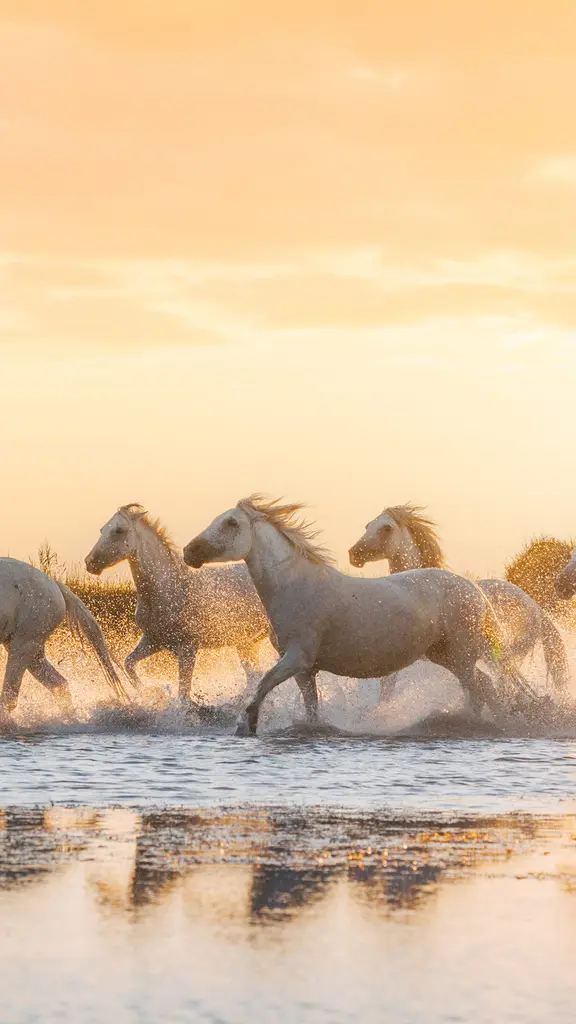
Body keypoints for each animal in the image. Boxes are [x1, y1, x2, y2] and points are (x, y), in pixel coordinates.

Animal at [85, 504, 270, 712]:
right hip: (247, 643)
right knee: (253, 675)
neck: (168, 590)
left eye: (119, 530)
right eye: (102, 529)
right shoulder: (153, 640)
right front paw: (153, 692)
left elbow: (183, 695)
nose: (90, 563)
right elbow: (129, 663)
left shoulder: (187, 649)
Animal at [183, 494, 517, 736]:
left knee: (482, 688)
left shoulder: (297, 657)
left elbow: (263, 685)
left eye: (230, 523)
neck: (297, 586)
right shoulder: (305, 670)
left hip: (461, 655)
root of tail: (474, 589)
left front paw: (247, 726)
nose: (189, 551)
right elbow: (311, 708)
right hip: (445, 656)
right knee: (482, 686)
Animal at [348, 503, 568, 702]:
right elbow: (387, 688)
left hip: (505, 655)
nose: (354, 554)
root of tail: (535, 608)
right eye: (368, 525)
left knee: (504, 684)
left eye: (386, 528)